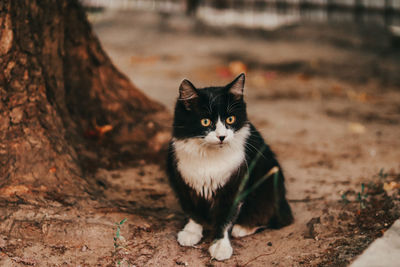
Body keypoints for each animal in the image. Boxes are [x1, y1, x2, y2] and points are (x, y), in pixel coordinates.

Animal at [166, 73, 294, 262]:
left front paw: (221, 246)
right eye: (205, 122)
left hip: (270, 181)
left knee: (277, 218)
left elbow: (226, 219)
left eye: (230, 119)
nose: (222, 136)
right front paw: (191, 232)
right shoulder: (183, 183)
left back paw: (243, 228)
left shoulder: (234, 187)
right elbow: (193, 211)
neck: (210, 156)